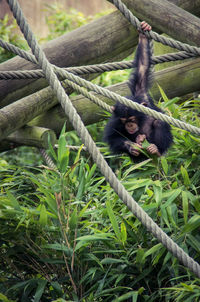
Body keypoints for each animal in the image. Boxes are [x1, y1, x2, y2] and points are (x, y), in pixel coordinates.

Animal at [104, 21, 173, 160]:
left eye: (131, 119)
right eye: (124, 121)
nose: (129, 125)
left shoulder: (141, 92)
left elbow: (143, 64)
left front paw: (143, 34)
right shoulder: (115, 120)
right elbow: (113, 136)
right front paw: (131, 146)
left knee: (159, 122)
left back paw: (155, 150)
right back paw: (138, 142)